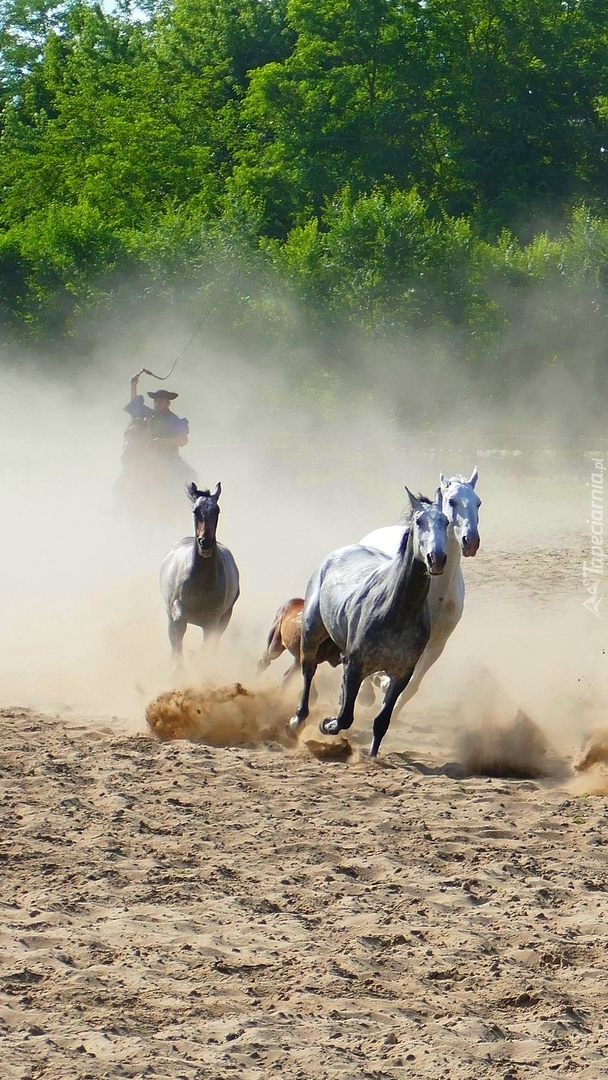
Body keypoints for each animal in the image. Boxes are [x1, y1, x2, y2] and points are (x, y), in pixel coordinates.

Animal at [159, 483, 240, 665]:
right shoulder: (177, 605)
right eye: (195, 511)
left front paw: (194, 657)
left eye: (217, 510)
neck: (201, 579)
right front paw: (179, 665)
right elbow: (179, 626)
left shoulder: (213, 618)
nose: (205, 543)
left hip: (225, 617)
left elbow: (208, 643)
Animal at [287, 490, 449, 760]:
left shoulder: (401, 674)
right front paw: (326, 724)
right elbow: (344, 717)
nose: (437, 558)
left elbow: (381, 720)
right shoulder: (355, 663)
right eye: (419, 522)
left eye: (445, 522)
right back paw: (297, 720)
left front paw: (372, 755)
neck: (396, 612)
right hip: (311, 633)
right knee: (308, 670)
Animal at [358, 468, 483, 712]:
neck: (435, 595)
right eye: (452, 501)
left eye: (478, 503)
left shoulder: (435, 646)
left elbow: (410, 687)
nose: (471, 541)